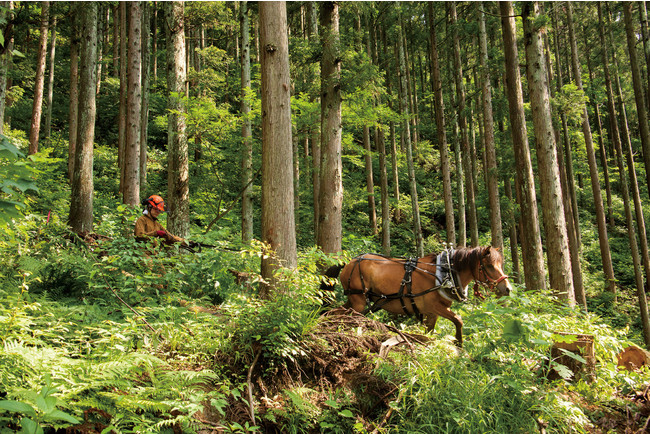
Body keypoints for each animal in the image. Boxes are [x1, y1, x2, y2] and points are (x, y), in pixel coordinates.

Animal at [322, 248, 508, 346]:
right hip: (359, 302)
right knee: (343, 315)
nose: (507, 288)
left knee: (335, 312)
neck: (444, 273)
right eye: (489, 266)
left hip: (354, 300)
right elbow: (459, 320)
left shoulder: (431, 313)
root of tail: (348, 263)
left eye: (501, 264)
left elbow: (429, 333)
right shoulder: (436, 307)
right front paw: (459, 343)